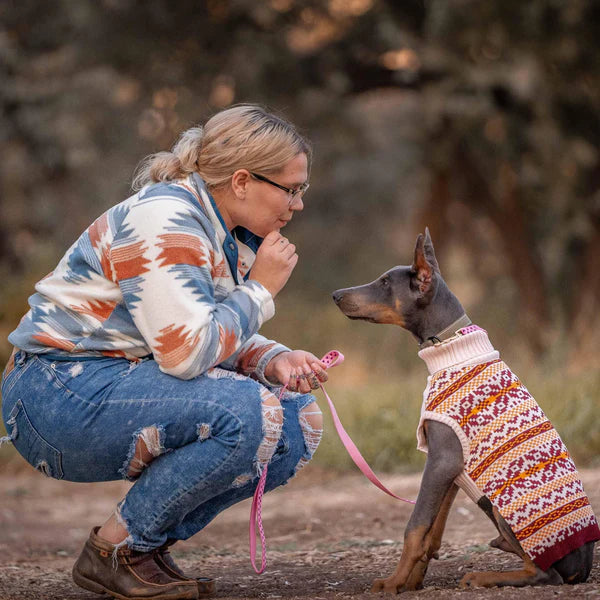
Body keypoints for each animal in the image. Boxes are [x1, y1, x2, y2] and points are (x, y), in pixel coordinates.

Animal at [330, 229, 596, 592]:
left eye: (385, 283)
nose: (335, 294)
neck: (449, 346)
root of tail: (584, 567)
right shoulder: (452, 469)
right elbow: (432, 531)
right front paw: (412, 581)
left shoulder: (442, 458)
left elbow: (415, 526)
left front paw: (393, 582)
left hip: (507, 508)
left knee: (544, 573)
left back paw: (485, 576)